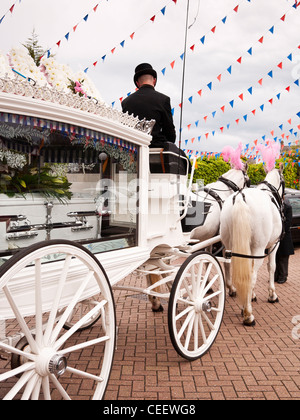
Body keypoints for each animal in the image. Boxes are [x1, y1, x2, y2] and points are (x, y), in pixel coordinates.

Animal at [219, 166, 284, 326]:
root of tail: (240, 197)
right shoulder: (274, 245)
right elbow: (271, 267)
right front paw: (272, 295)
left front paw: (251, 295)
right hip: (258, 249)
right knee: (252, 275)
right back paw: (248, 315)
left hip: (230, 245)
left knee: (230, 267)